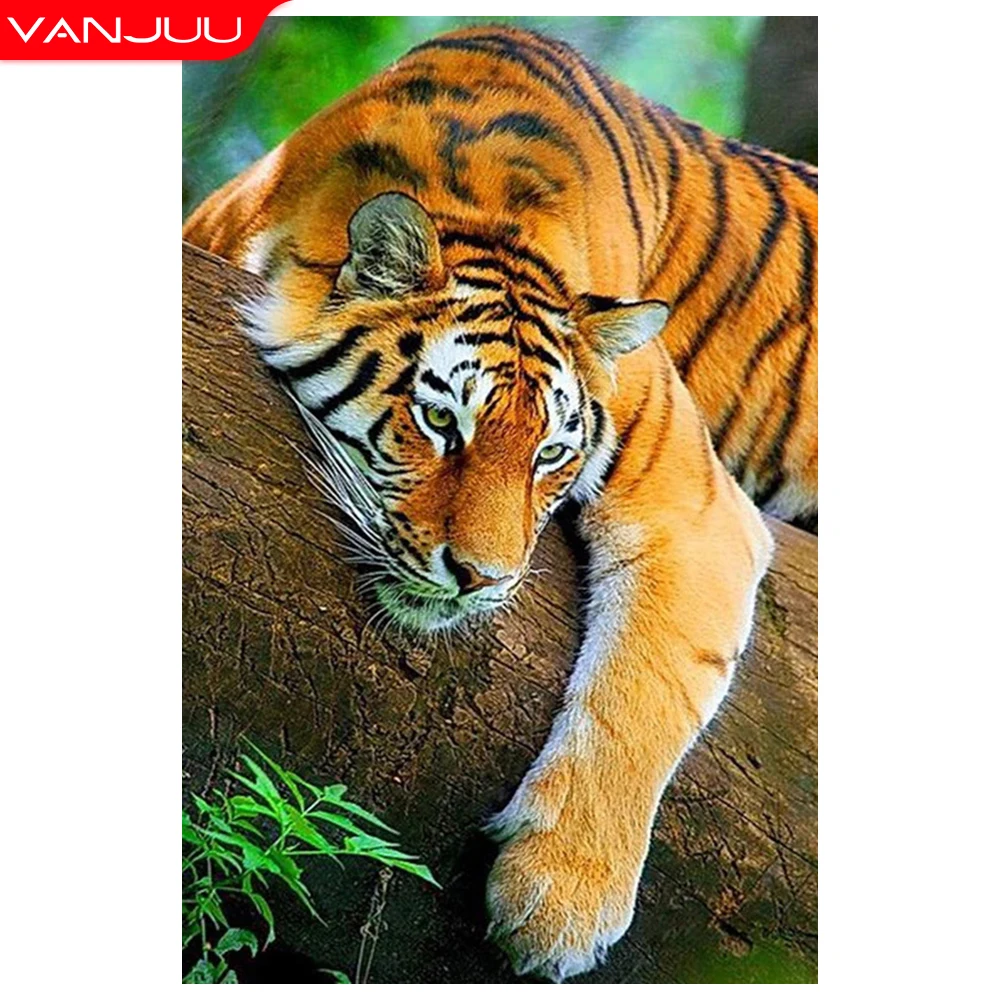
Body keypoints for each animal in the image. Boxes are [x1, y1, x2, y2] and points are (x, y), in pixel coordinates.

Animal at [183, 24, 817, 982]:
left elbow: (646, 692)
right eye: (441, 421)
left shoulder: (698, 507)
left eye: (551, 453)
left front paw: (560, 902)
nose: (479, 578)